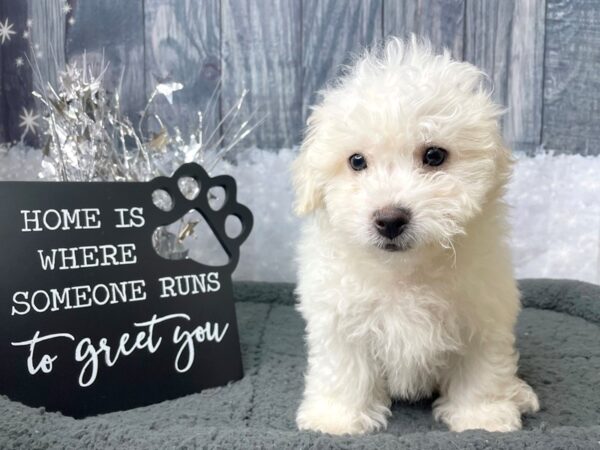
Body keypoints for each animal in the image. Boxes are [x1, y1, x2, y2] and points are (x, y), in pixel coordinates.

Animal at [292, 38, 540, 436]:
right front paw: (337, 418)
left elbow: (481, 369)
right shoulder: (340, 318)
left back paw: (516, 393)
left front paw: (482, 417)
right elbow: (345, 369)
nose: (390, 219)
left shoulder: (481, 315)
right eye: (356, 161)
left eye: (435, 155)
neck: (404, 271)